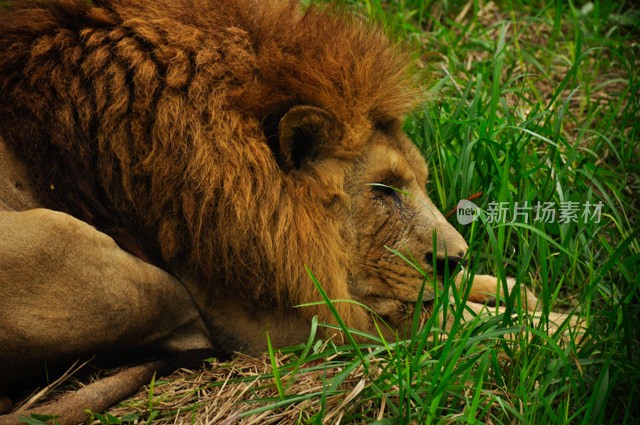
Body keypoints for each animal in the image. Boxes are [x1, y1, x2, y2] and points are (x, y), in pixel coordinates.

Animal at [0, 0, 576, 420]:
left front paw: (514, 291)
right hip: (72, 248)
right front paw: (565, 327)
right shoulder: (285, 320)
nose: (455, 258)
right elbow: (446, 323)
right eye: (384, 190)